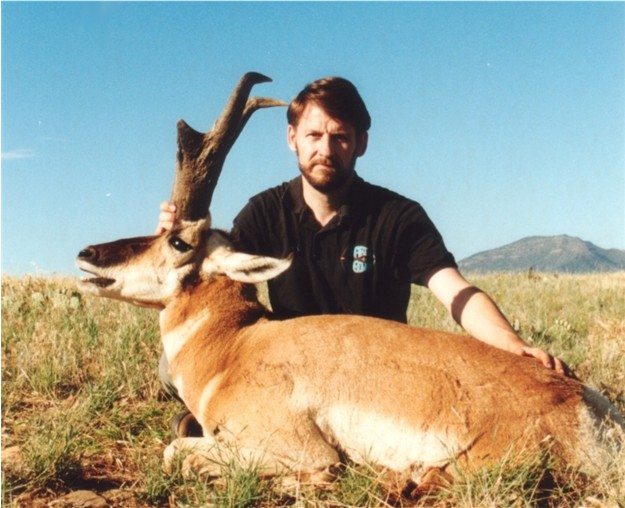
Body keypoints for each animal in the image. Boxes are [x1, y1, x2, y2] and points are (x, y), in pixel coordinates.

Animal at [77, 71, 620, 492]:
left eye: (177, 241)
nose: (87, 255)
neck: (236, 346)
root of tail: (589, 405)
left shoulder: (294, 446)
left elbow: (178, 453)